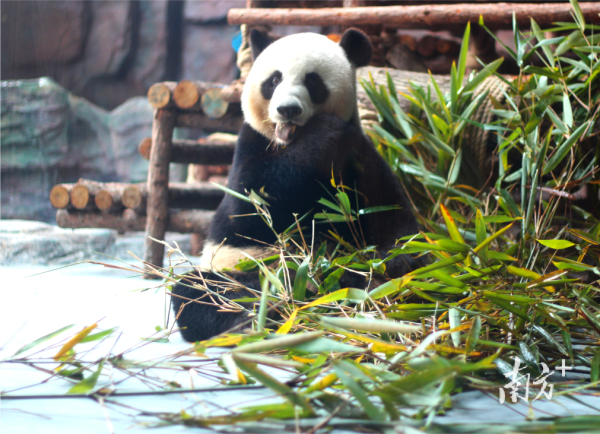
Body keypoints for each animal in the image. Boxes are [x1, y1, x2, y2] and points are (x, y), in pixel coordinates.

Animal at [171, 28, 420, 344]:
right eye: (274, 80)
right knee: (202, 291)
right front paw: (322, 132)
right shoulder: (250, 149)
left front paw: (395, 260)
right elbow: (250, 207)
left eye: (312, 81)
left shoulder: (361, 157)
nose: (287, 109)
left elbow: (392, 218)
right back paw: (254, 317)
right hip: (244, 269)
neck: (290, 141)